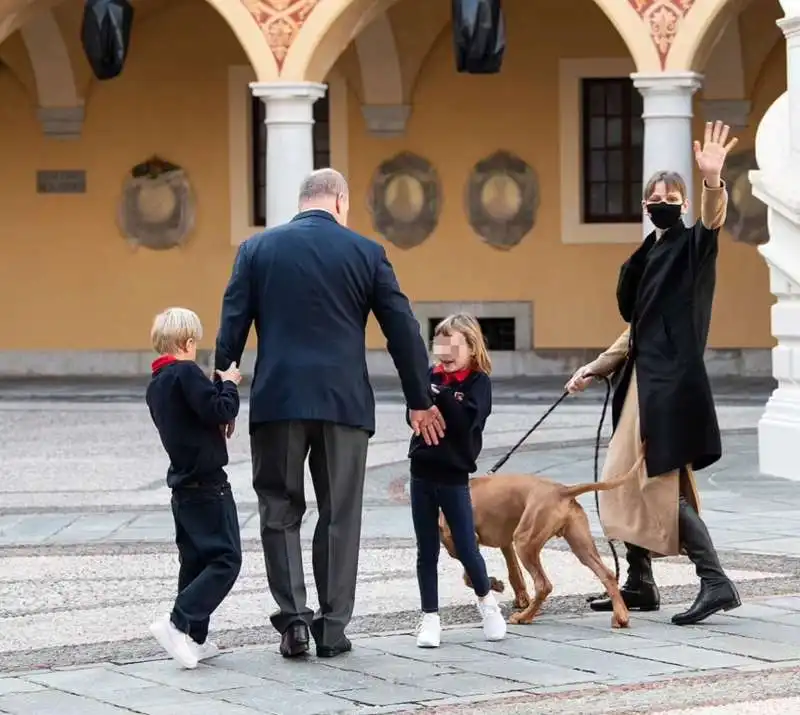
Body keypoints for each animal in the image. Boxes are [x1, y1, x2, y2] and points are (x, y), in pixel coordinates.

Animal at [438, 462, 644, 628]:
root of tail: (562, 490)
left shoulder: (462, 543)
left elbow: (468, 575)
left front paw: (492, 583)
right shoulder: (505, 543)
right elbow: (513, 573)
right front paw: (507, 590)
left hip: (524, 541)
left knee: (544, 585)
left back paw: (524, 617)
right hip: (579, 545)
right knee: (607, 574)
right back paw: (621, 617)